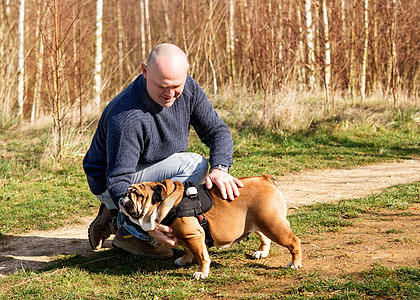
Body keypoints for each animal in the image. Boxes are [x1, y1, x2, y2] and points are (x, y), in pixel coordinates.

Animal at [118, 175, 302, 280]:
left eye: (137, 195)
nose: (122, 197)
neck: (170, 203)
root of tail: (265, 179)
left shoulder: (192, 236)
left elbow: (201, 256)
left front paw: (202, 273)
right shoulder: (189, 237)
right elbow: (187, 250)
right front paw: (184, 260)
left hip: (272, 224)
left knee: (294, 241)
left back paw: (294, 263)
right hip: (258, 222)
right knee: (264, 237)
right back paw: (261, 252)